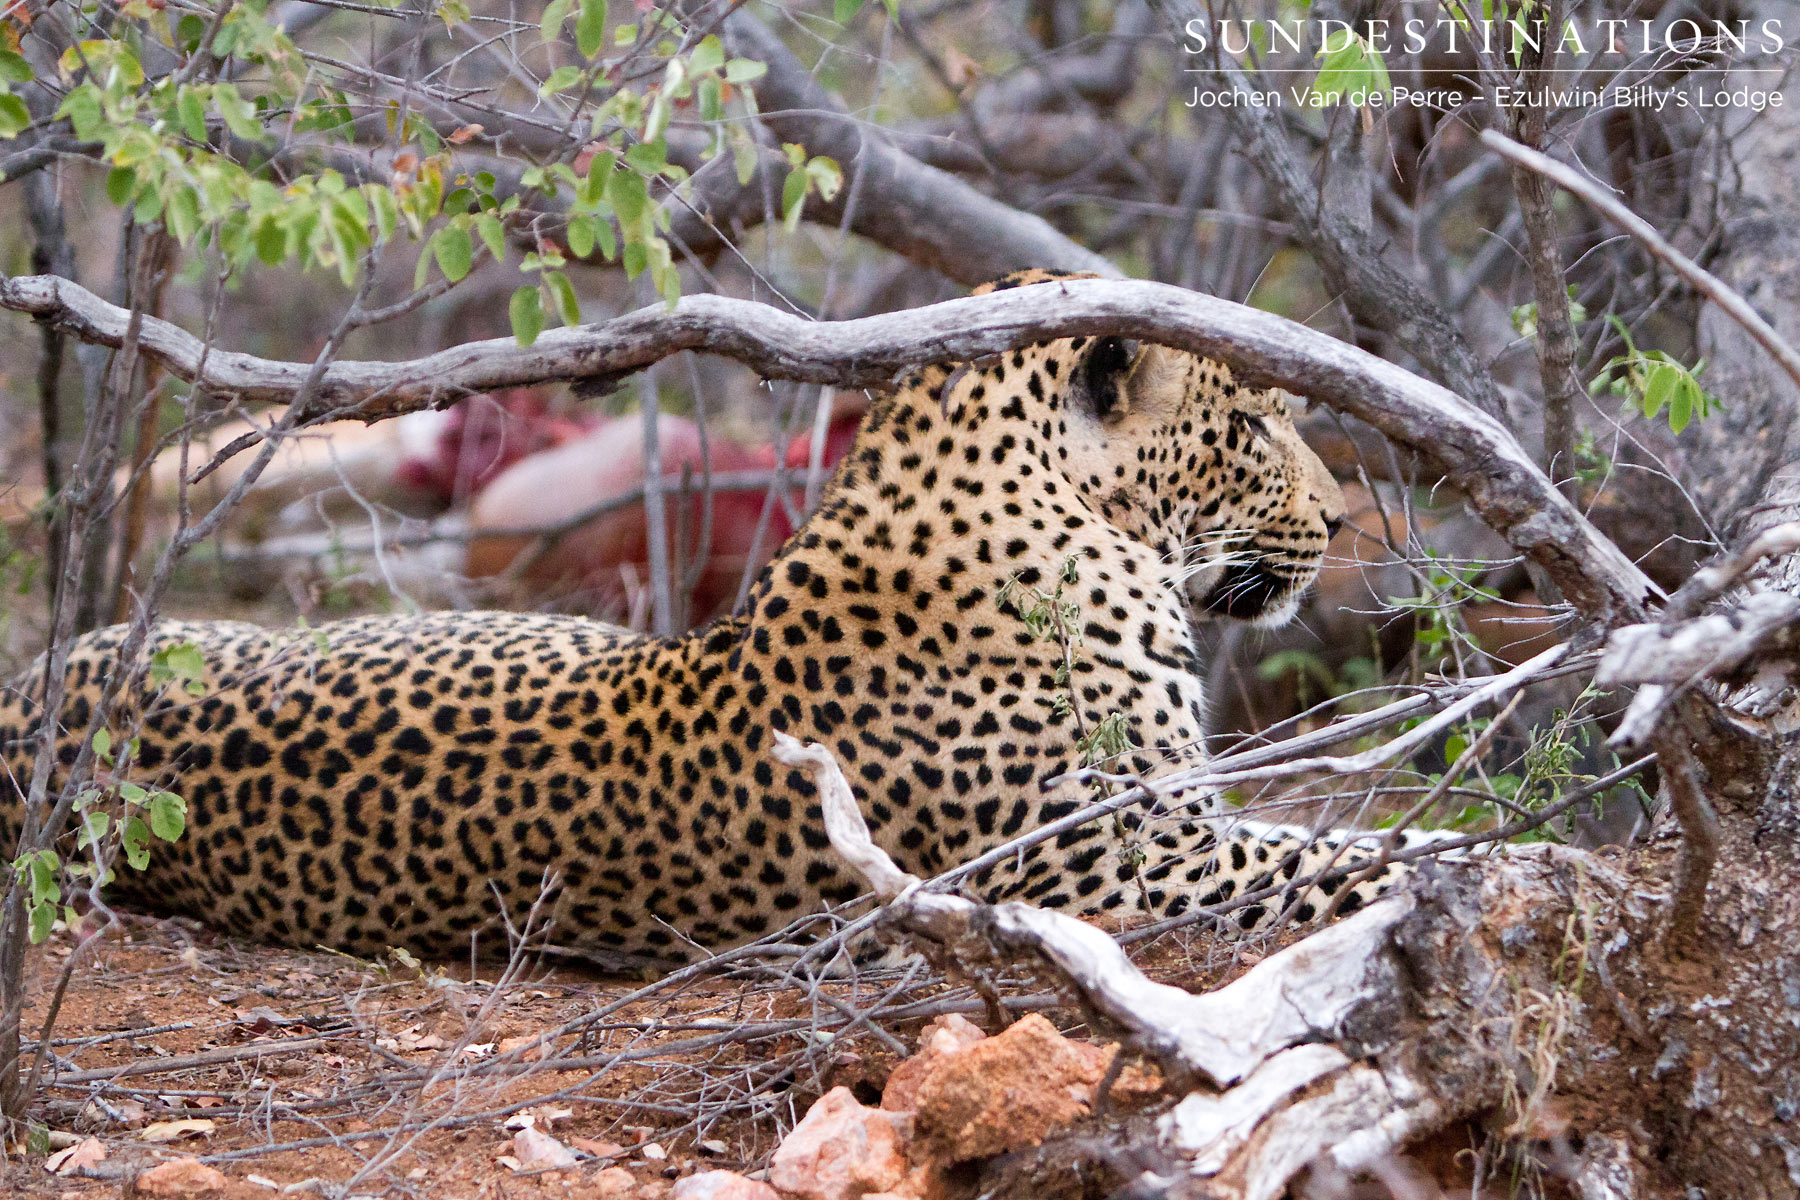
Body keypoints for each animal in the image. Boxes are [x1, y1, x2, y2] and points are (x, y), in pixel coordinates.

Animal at [0, 271, 1432, 964]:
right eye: (1253, 427)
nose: (1340, 521)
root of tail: (31, 694)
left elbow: (1347, 841)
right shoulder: (1125, 865)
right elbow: (1343, 860)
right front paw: (1470, 870)